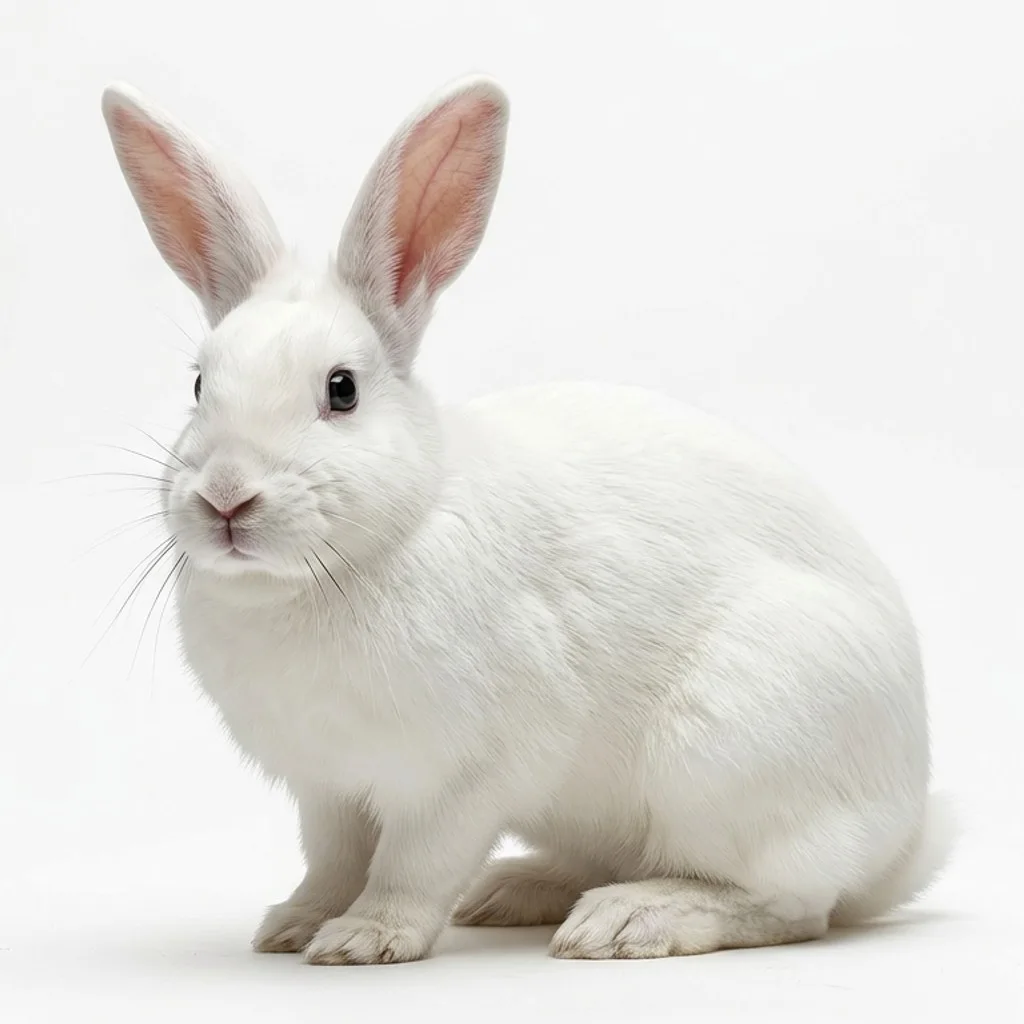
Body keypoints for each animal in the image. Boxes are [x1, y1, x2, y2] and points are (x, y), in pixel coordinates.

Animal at [100, 75, 955, 965]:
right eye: (199, 385)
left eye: (342, 390)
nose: (226, 497)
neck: (348, 563)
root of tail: (901, 836)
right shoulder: (326, 791)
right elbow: (331, 863)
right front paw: (293, 926)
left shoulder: (465, 777)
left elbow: (412, 866)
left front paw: (365, 940)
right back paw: (514, 890)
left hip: (729, 759)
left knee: (786, 906)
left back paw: (627, 919)